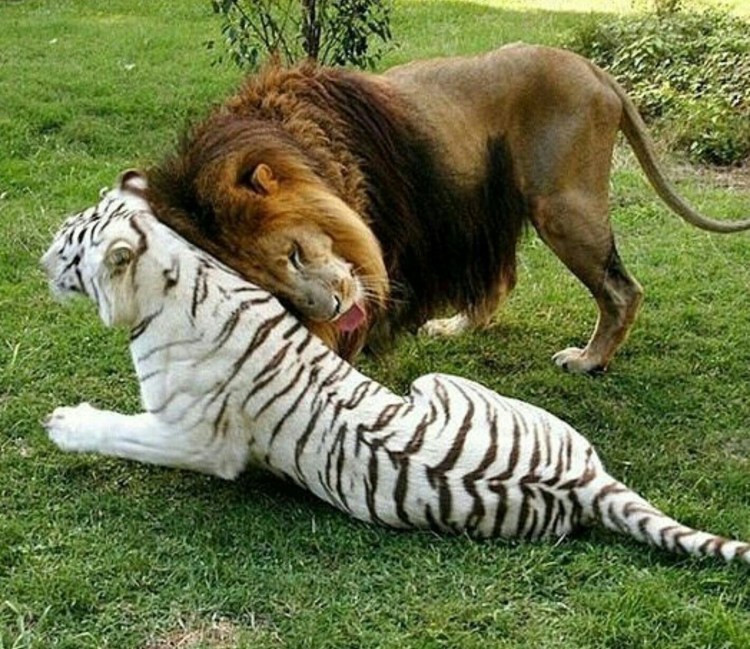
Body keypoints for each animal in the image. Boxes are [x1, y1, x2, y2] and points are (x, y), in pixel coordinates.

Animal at [42, 170, 750, 565]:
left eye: (69, 249)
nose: (40, 263)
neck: (177, 270)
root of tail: (584, 480)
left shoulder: (194, 438)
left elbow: (121, 432)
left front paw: (64, 424)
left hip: (430, 381)